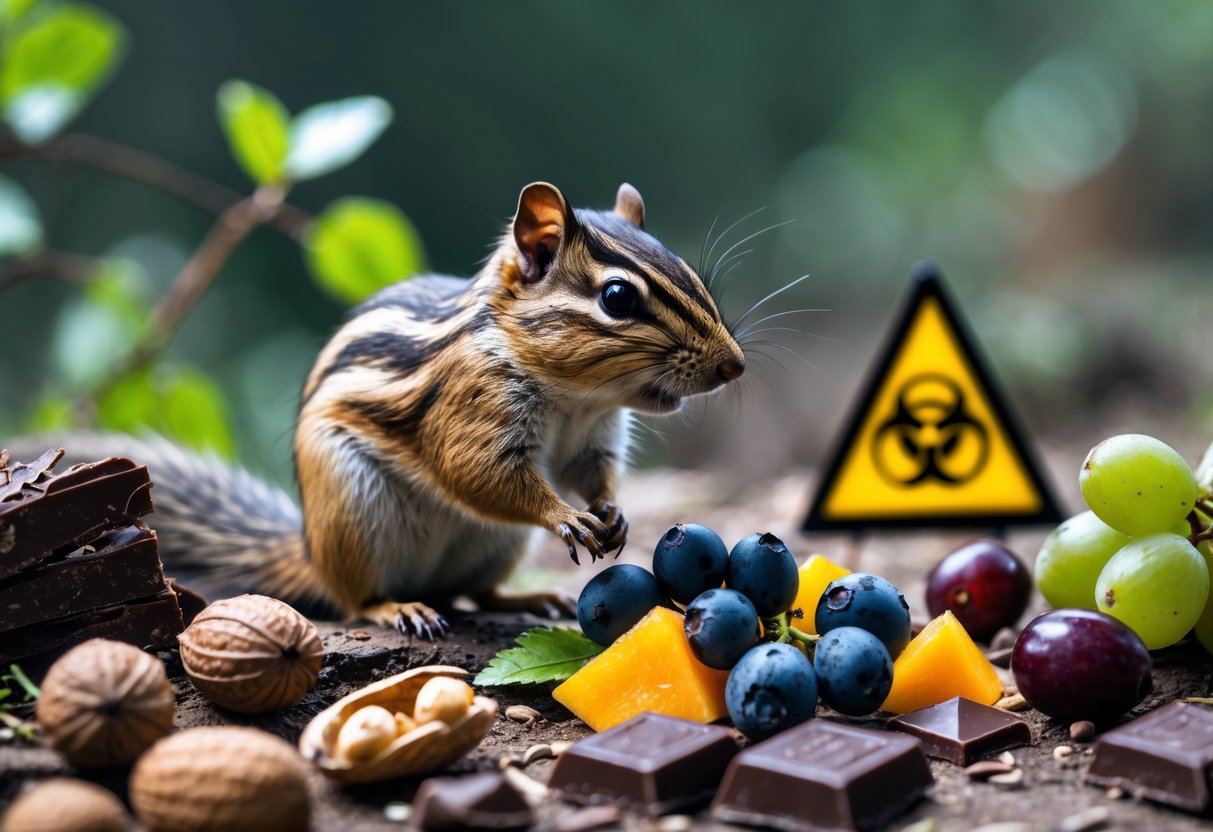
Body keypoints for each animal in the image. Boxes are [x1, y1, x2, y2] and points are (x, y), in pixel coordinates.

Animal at [8, 183, 746, 638]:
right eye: (618, 298)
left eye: (693, 275)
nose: (734, 366)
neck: (573, 395)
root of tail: (311, 552)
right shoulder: (469, 412)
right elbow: (484, 476)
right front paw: (564, 514)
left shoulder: (595, 436)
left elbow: (594, 475)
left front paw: (612, 512)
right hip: (356, 508)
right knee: (357, 599)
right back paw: (401, 607)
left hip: (494, 546)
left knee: (475, 594)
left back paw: (527, 596)